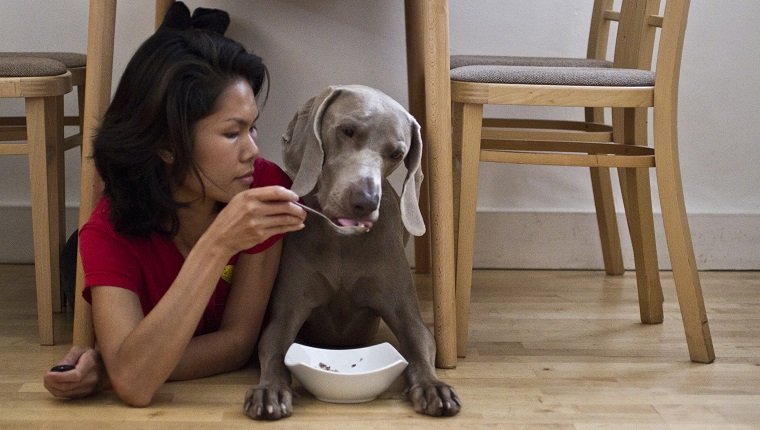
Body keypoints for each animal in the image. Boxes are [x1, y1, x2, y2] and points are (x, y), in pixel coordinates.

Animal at [243, 85, 460, 420]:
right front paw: (270, 390)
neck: (342, 241)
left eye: (397, 154)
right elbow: (275, 347)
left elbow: (420, 345)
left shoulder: (404, 310)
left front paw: (433, 386)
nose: (366, 201)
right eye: (347, 130)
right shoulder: (286, 311)